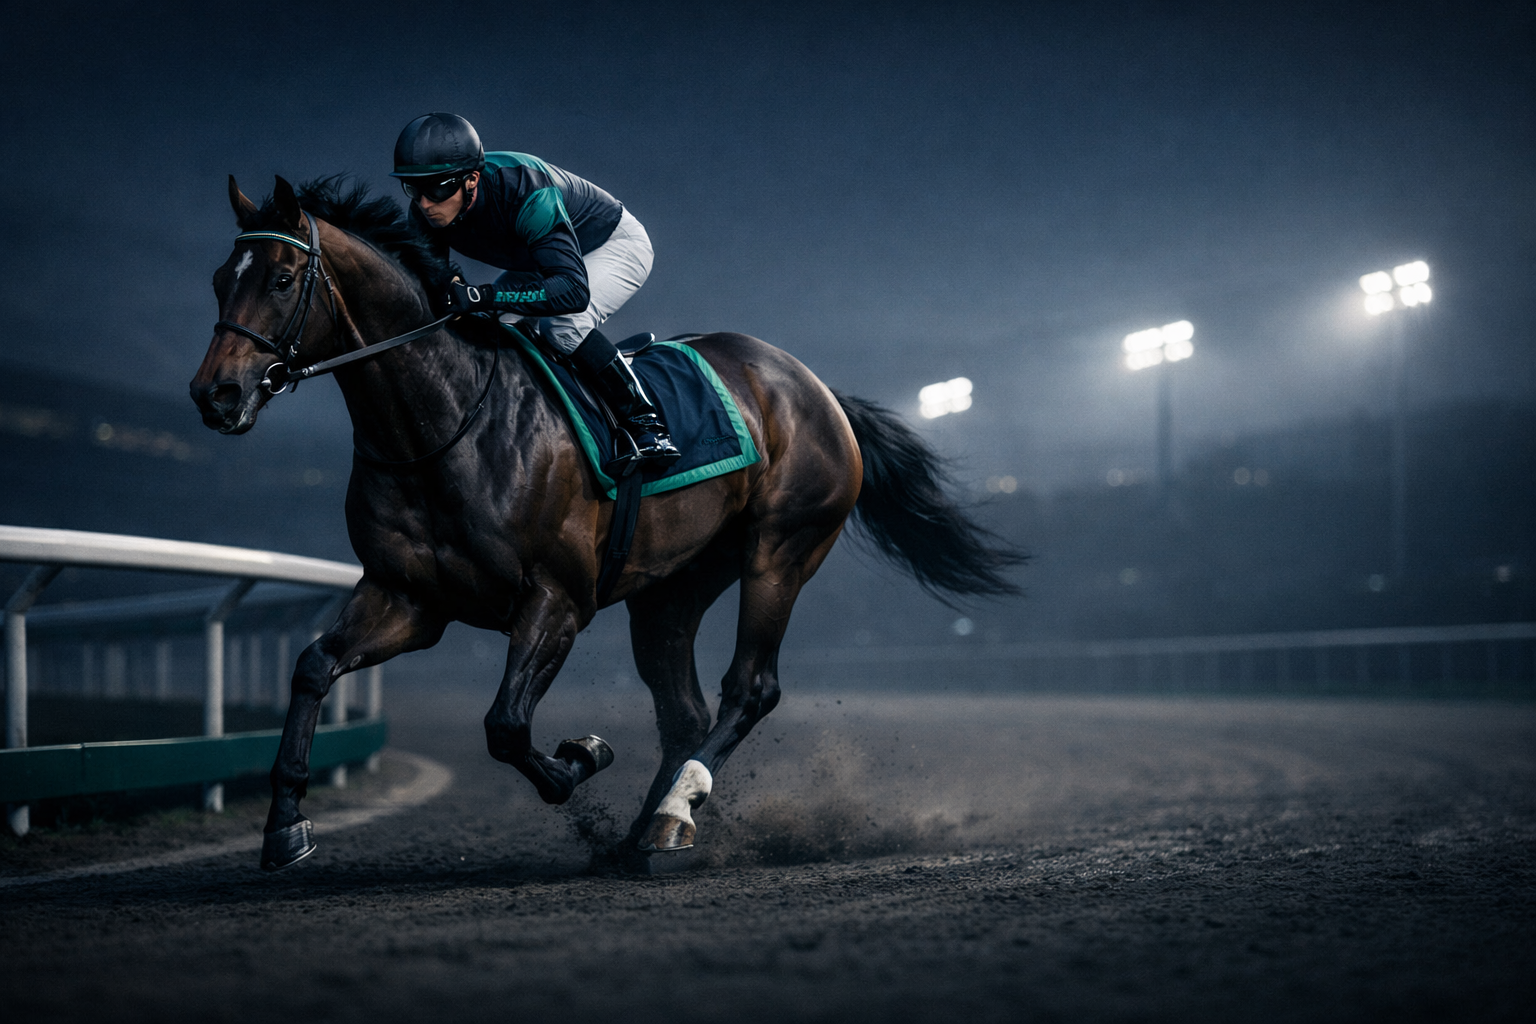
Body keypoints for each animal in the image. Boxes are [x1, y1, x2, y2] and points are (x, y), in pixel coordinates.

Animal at [190, 175, 1023, 872]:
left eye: (282, 278)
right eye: (221, 279)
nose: (216, 394)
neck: (443, 426)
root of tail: (814, 387)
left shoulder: (558, 598)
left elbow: (506, 725)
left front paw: (582, 756)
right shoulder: (409, 597)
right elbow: (313, 665)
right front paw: (284, 825)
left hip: (780, 551)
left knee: (750, 688)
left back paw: (673, 815)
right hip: (674, 585)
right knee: (684, 709)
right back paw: (643, 830)